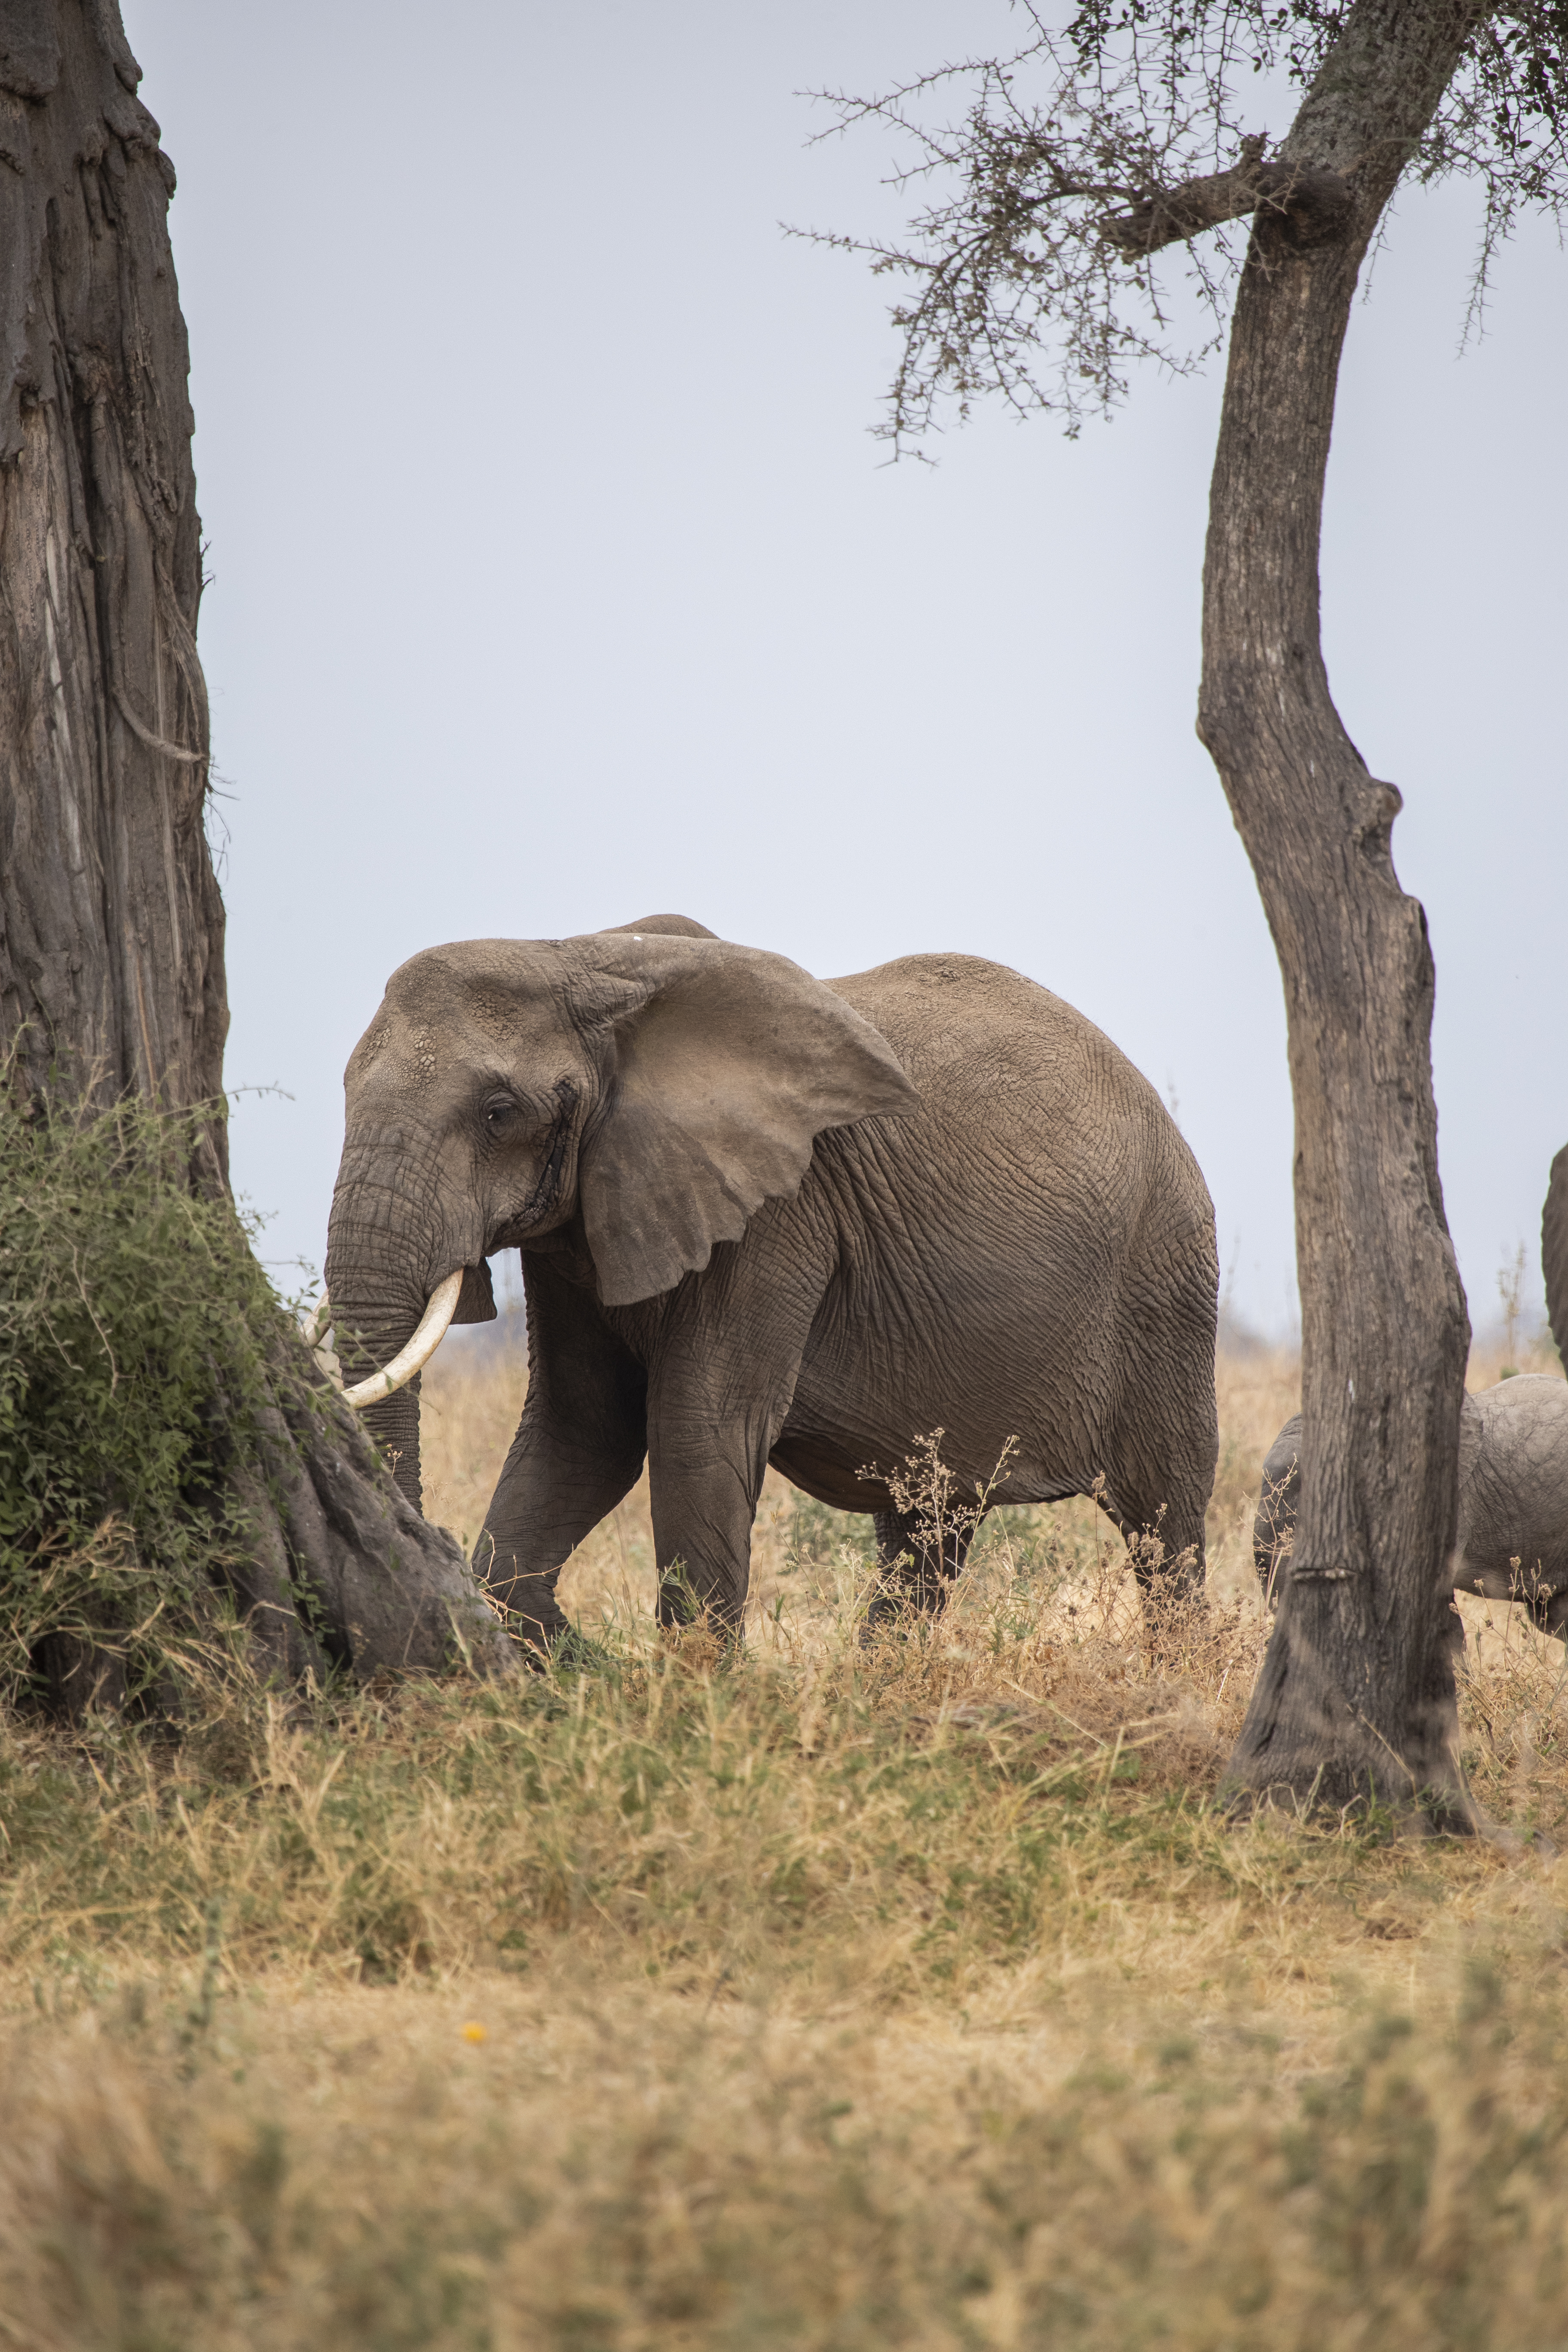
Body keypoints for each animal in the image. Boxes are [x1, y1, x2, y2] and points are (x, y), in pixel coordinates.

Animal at [324, 915, 1220, 1648]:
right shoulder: (581, 1222)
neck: (580, 956)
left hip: (1166, 1281)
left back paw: (1177, 1678)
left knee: (1165, 1521)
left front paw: (686, 1704)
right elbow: (582, 1430)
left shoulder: (778, 1212)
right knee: (929, 1526)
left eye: (499, 1111)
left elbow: (694, 1429)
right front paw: (564, 1648)